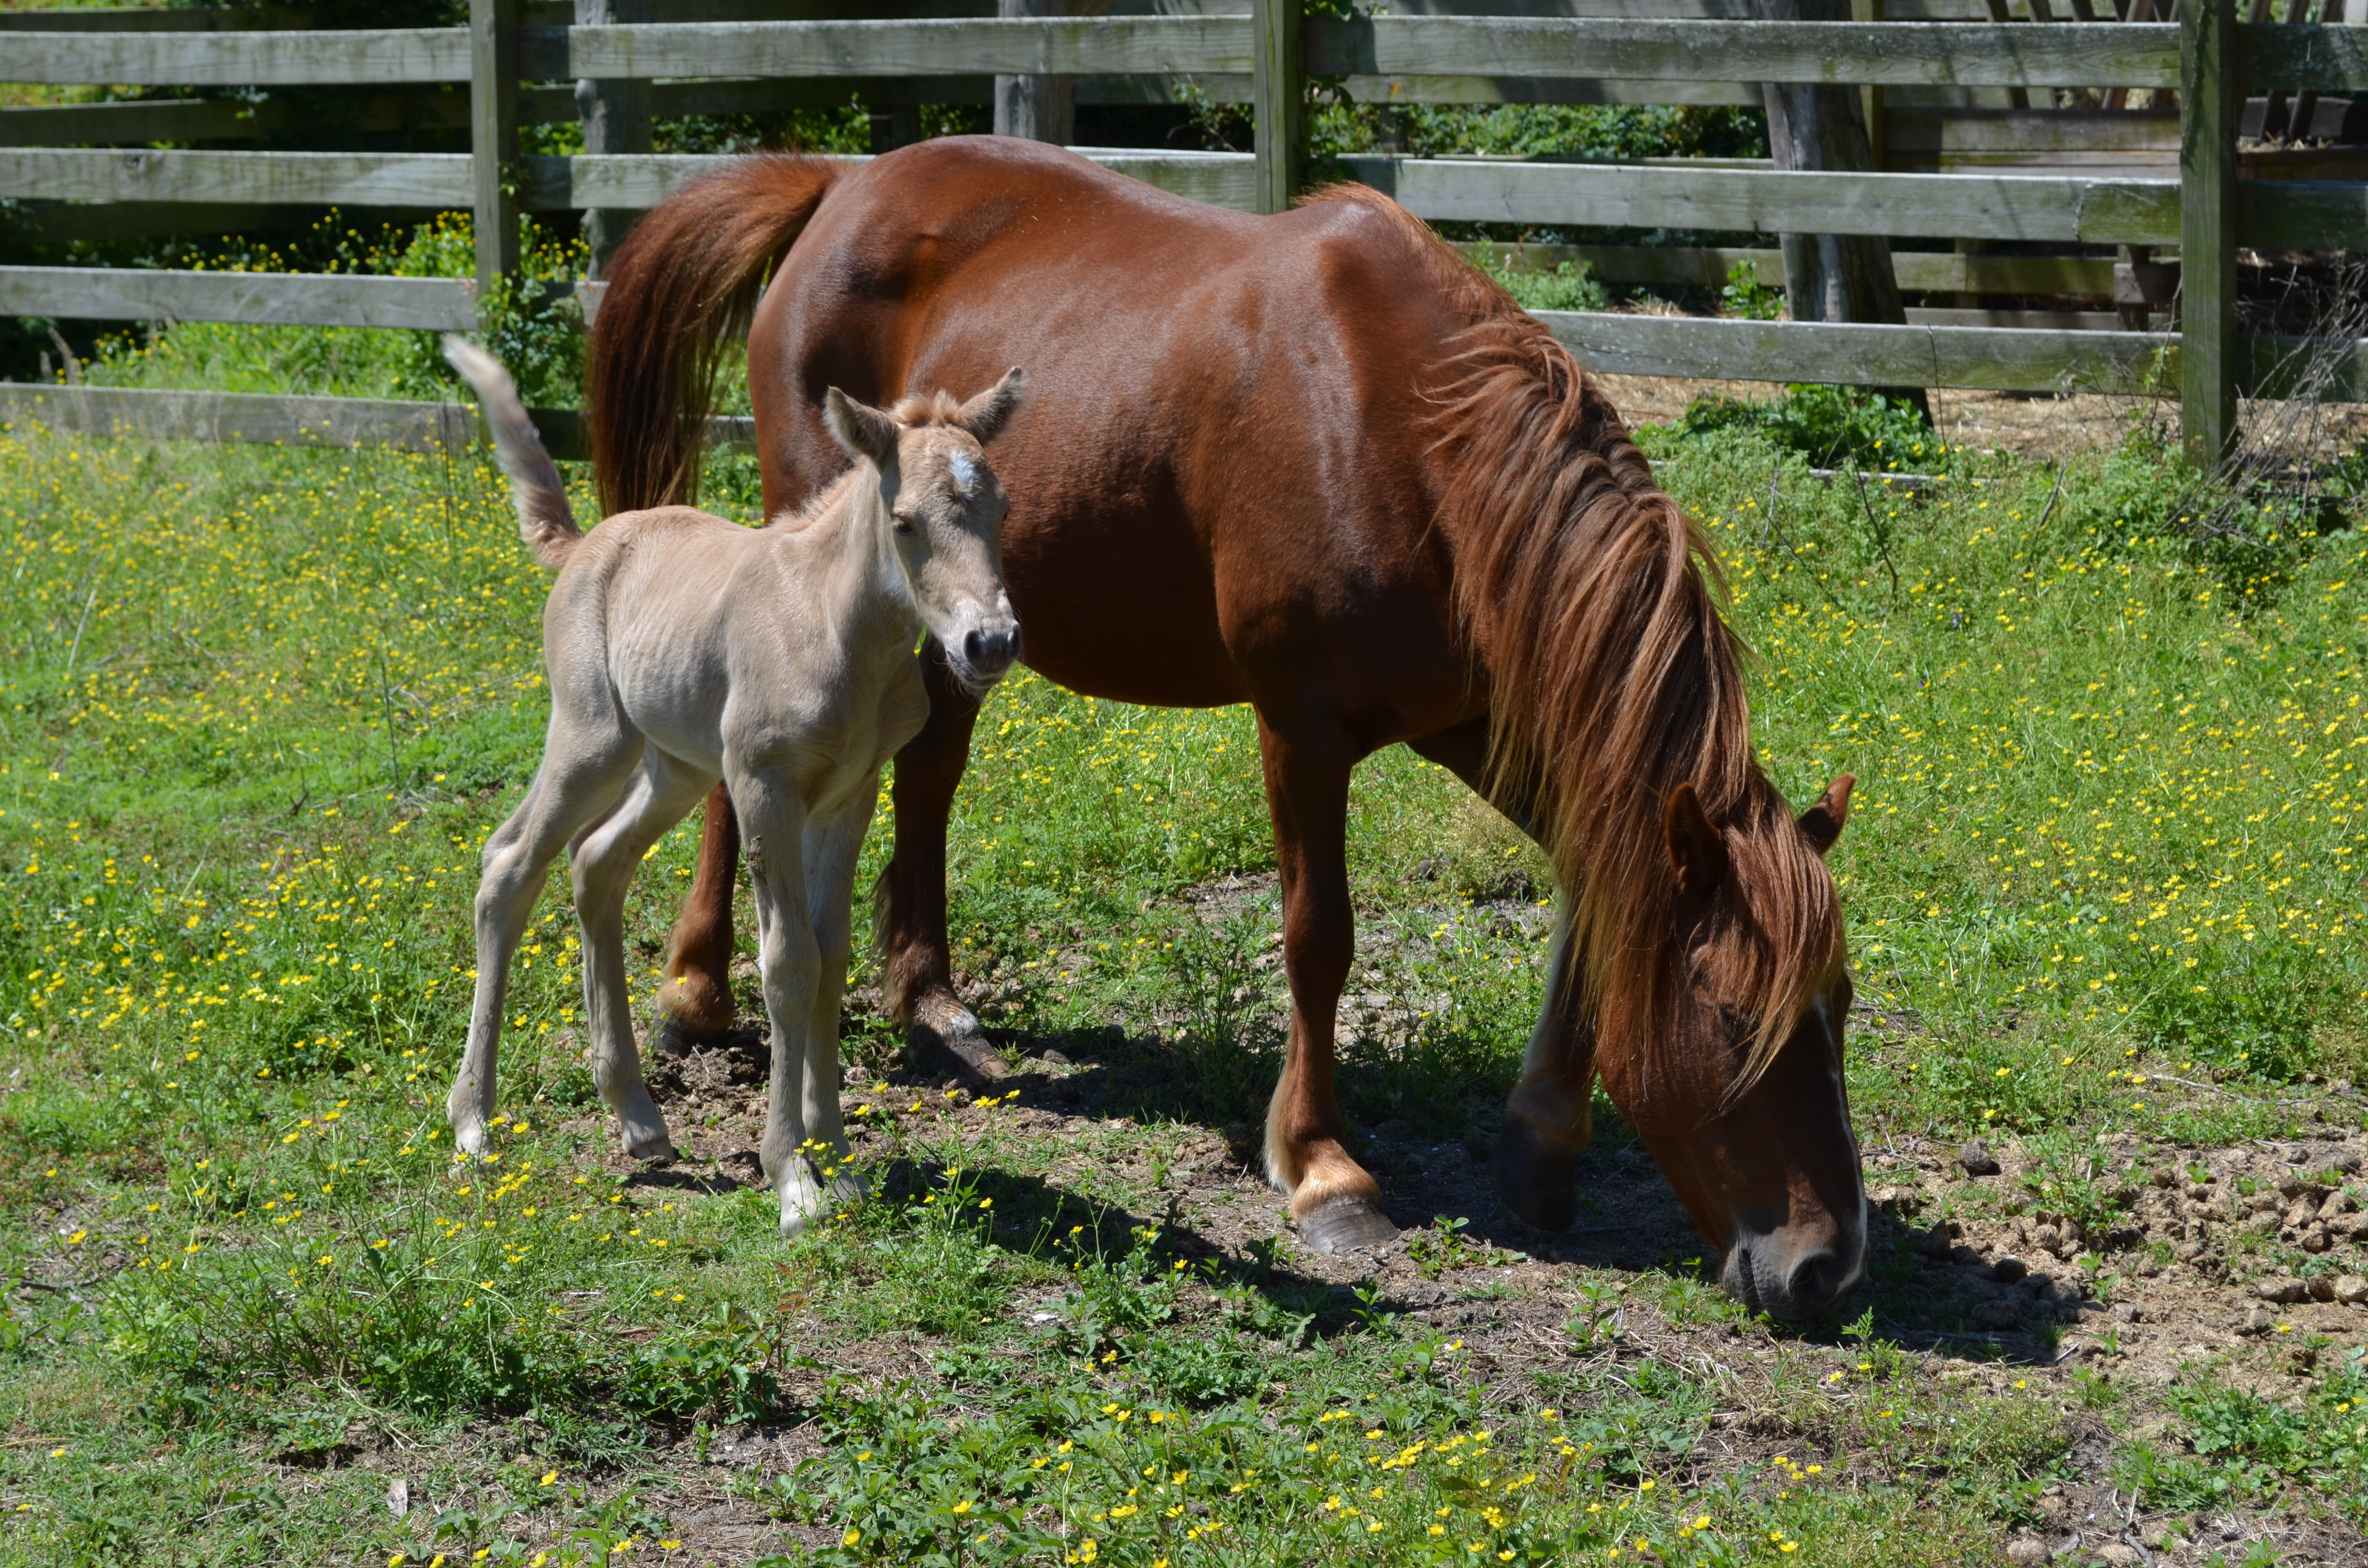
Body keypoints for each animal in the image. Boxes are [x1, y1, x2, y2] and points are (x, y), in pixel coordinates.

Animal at [440, 341, 1023, 1241]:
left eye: (999, 509)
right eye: (904, 523)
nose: (988, 642)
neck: (837, 628)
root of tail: (584, 545)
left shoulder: (849, 794)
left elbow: (832, 954)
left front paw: (838, 1161)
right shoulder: (763, 786)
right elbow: (787, 960)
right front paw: (791, 1178)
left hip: (673, 767)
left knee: (596, 863)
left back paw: (638, 1115)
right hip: (592, 739)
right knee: (509, 865)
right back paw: (473, 1121)